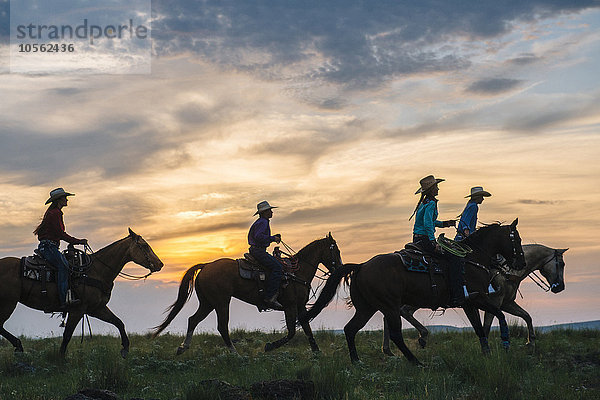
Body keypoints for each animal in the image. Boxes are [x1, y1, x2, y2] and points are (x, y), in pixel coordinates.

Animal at [0, 230, 163, 358]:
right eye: (144, 245)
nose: (160, 264)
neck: (95, 271)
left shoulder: (96, 309)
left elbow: (118, 322)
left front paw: (125, 348)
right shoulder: (77, 310)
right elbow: (67, 335)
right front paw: (60, 359)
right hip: (8, 303)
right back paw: (18, 346)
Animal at [152, 233, 342, 354]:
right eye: (336, 251)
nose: (340, 268)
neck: (296, 272)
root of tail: (206, 265)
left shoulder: (301, 306)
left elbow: (307, 329)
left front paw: (317, 353)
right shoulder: (290, 306)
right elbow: (291, 332)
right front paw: (269, 346)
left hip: (208, 303)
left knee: (193, 320)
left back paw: (183, 348)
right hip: (221, 302)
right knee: (222, 327)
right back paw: (235, 354)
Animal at [300, 220, 524, 364]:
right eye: (517, 240)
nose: (521, 262)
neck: (471, 259)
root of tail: (362, 265)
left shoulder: (468, 302)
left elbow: (479, 328)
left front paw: (487, 353)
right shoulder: (477, 298)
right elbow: (499, 315)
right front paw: (505, 342)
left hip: (367, 308)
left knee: (350, 329)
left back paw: (356, 361)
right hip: (389, 307)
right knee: (395, 334)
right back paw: (415, 361)